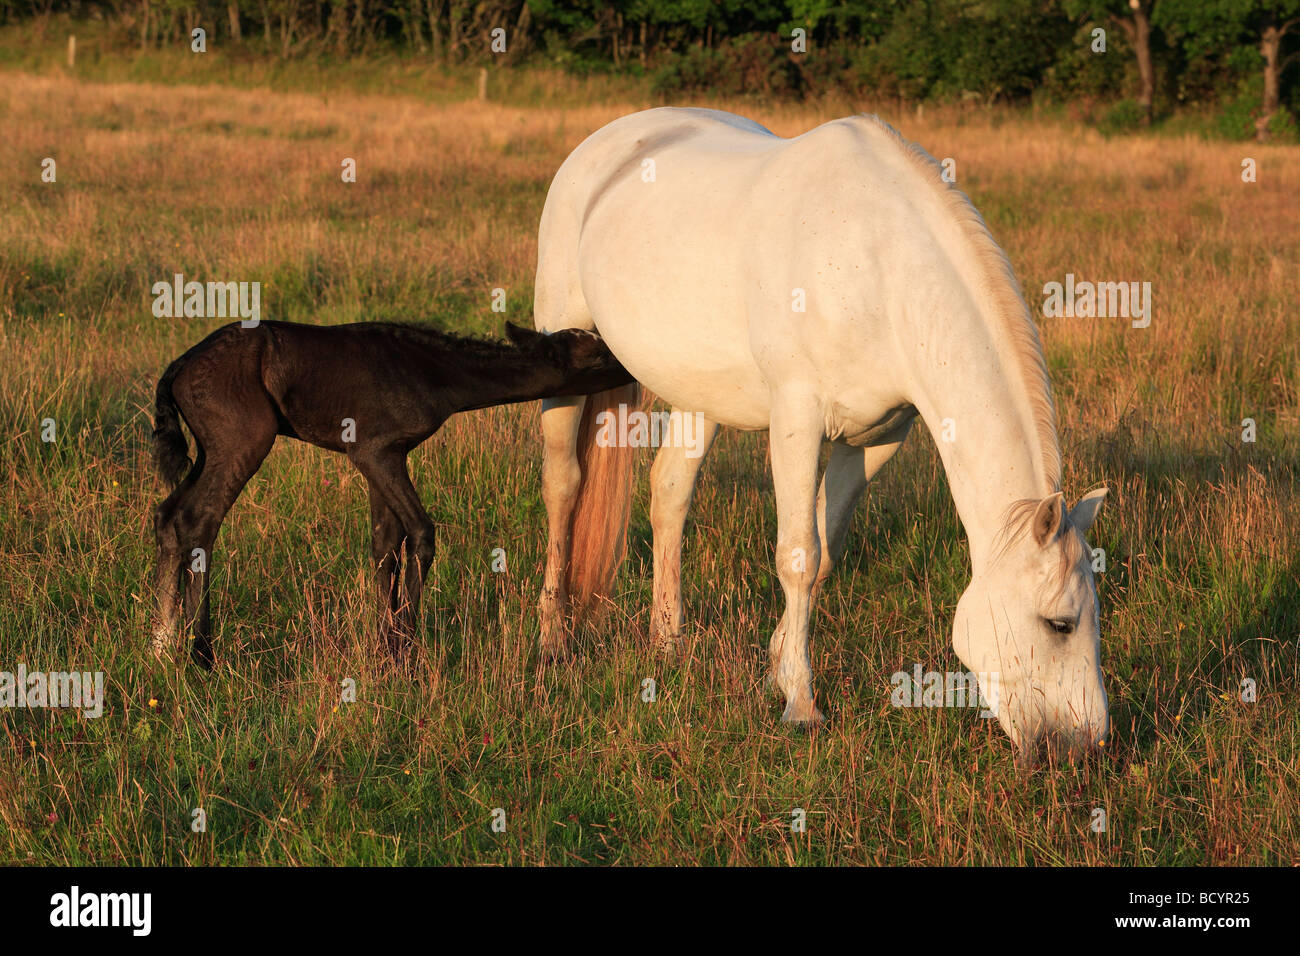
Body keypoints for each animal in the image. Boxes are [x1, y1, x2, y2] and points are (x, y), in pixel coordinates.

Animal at [152, 321, 634, 665]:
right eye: (597, 356)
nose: (630, 363)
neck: (433, 371)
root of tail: (178, 368)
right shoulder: (373, 449)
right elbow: (420, 533)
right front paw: (404, 652)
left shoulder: (389, 454)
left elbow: (385, 545)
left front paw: (383, 649)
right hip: (243, 439)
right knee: (198, 520)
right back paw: (202, 654)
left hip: (210, 449)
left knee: (168, 515)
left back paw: (161, 643)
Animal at [533, 106, 1112, 764]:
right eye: (1060, 624)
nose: (1086, 746)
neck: (879, 269)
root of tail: (606, 141)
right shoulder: (797, 419)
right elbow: (798, 555)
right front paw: (802, 705)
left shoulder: (876, 439)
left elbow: (827, 549)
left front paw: (778, 668)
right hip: (561, 352)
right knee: (563, 485)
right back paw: (553, 639)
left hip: (698, 394)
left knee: (669, 494)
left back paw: (666, 642)